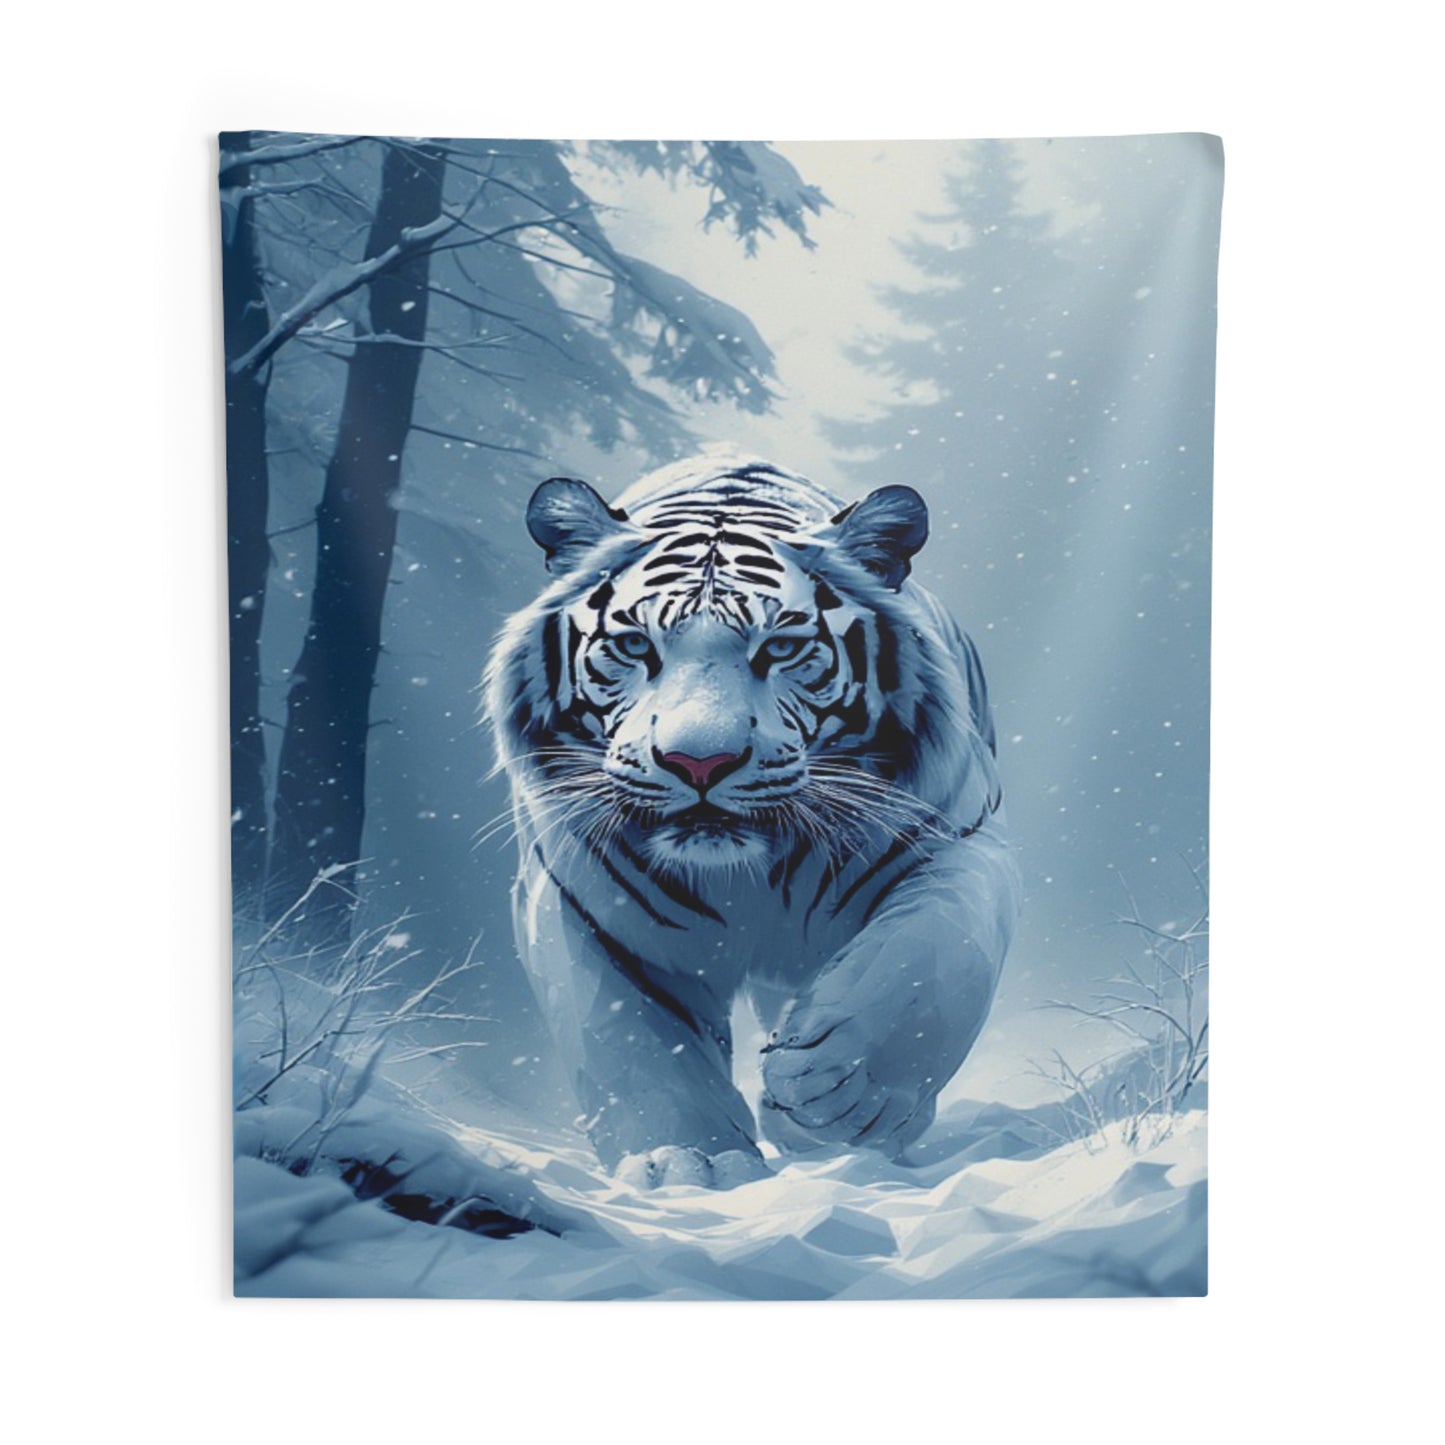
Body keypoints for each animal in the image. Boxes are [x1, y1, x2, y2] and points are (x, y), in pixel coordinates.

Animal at [485, 451, 1020, 1188]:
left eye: (783, 647)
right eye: (634, 645)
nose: (698, 762)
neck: (752, 876)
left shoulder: (959, 839)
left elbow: (930, 954)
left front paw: (836, 1091)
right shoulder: (581, 902)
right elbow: (631, 1037)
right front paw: (689, 1161)